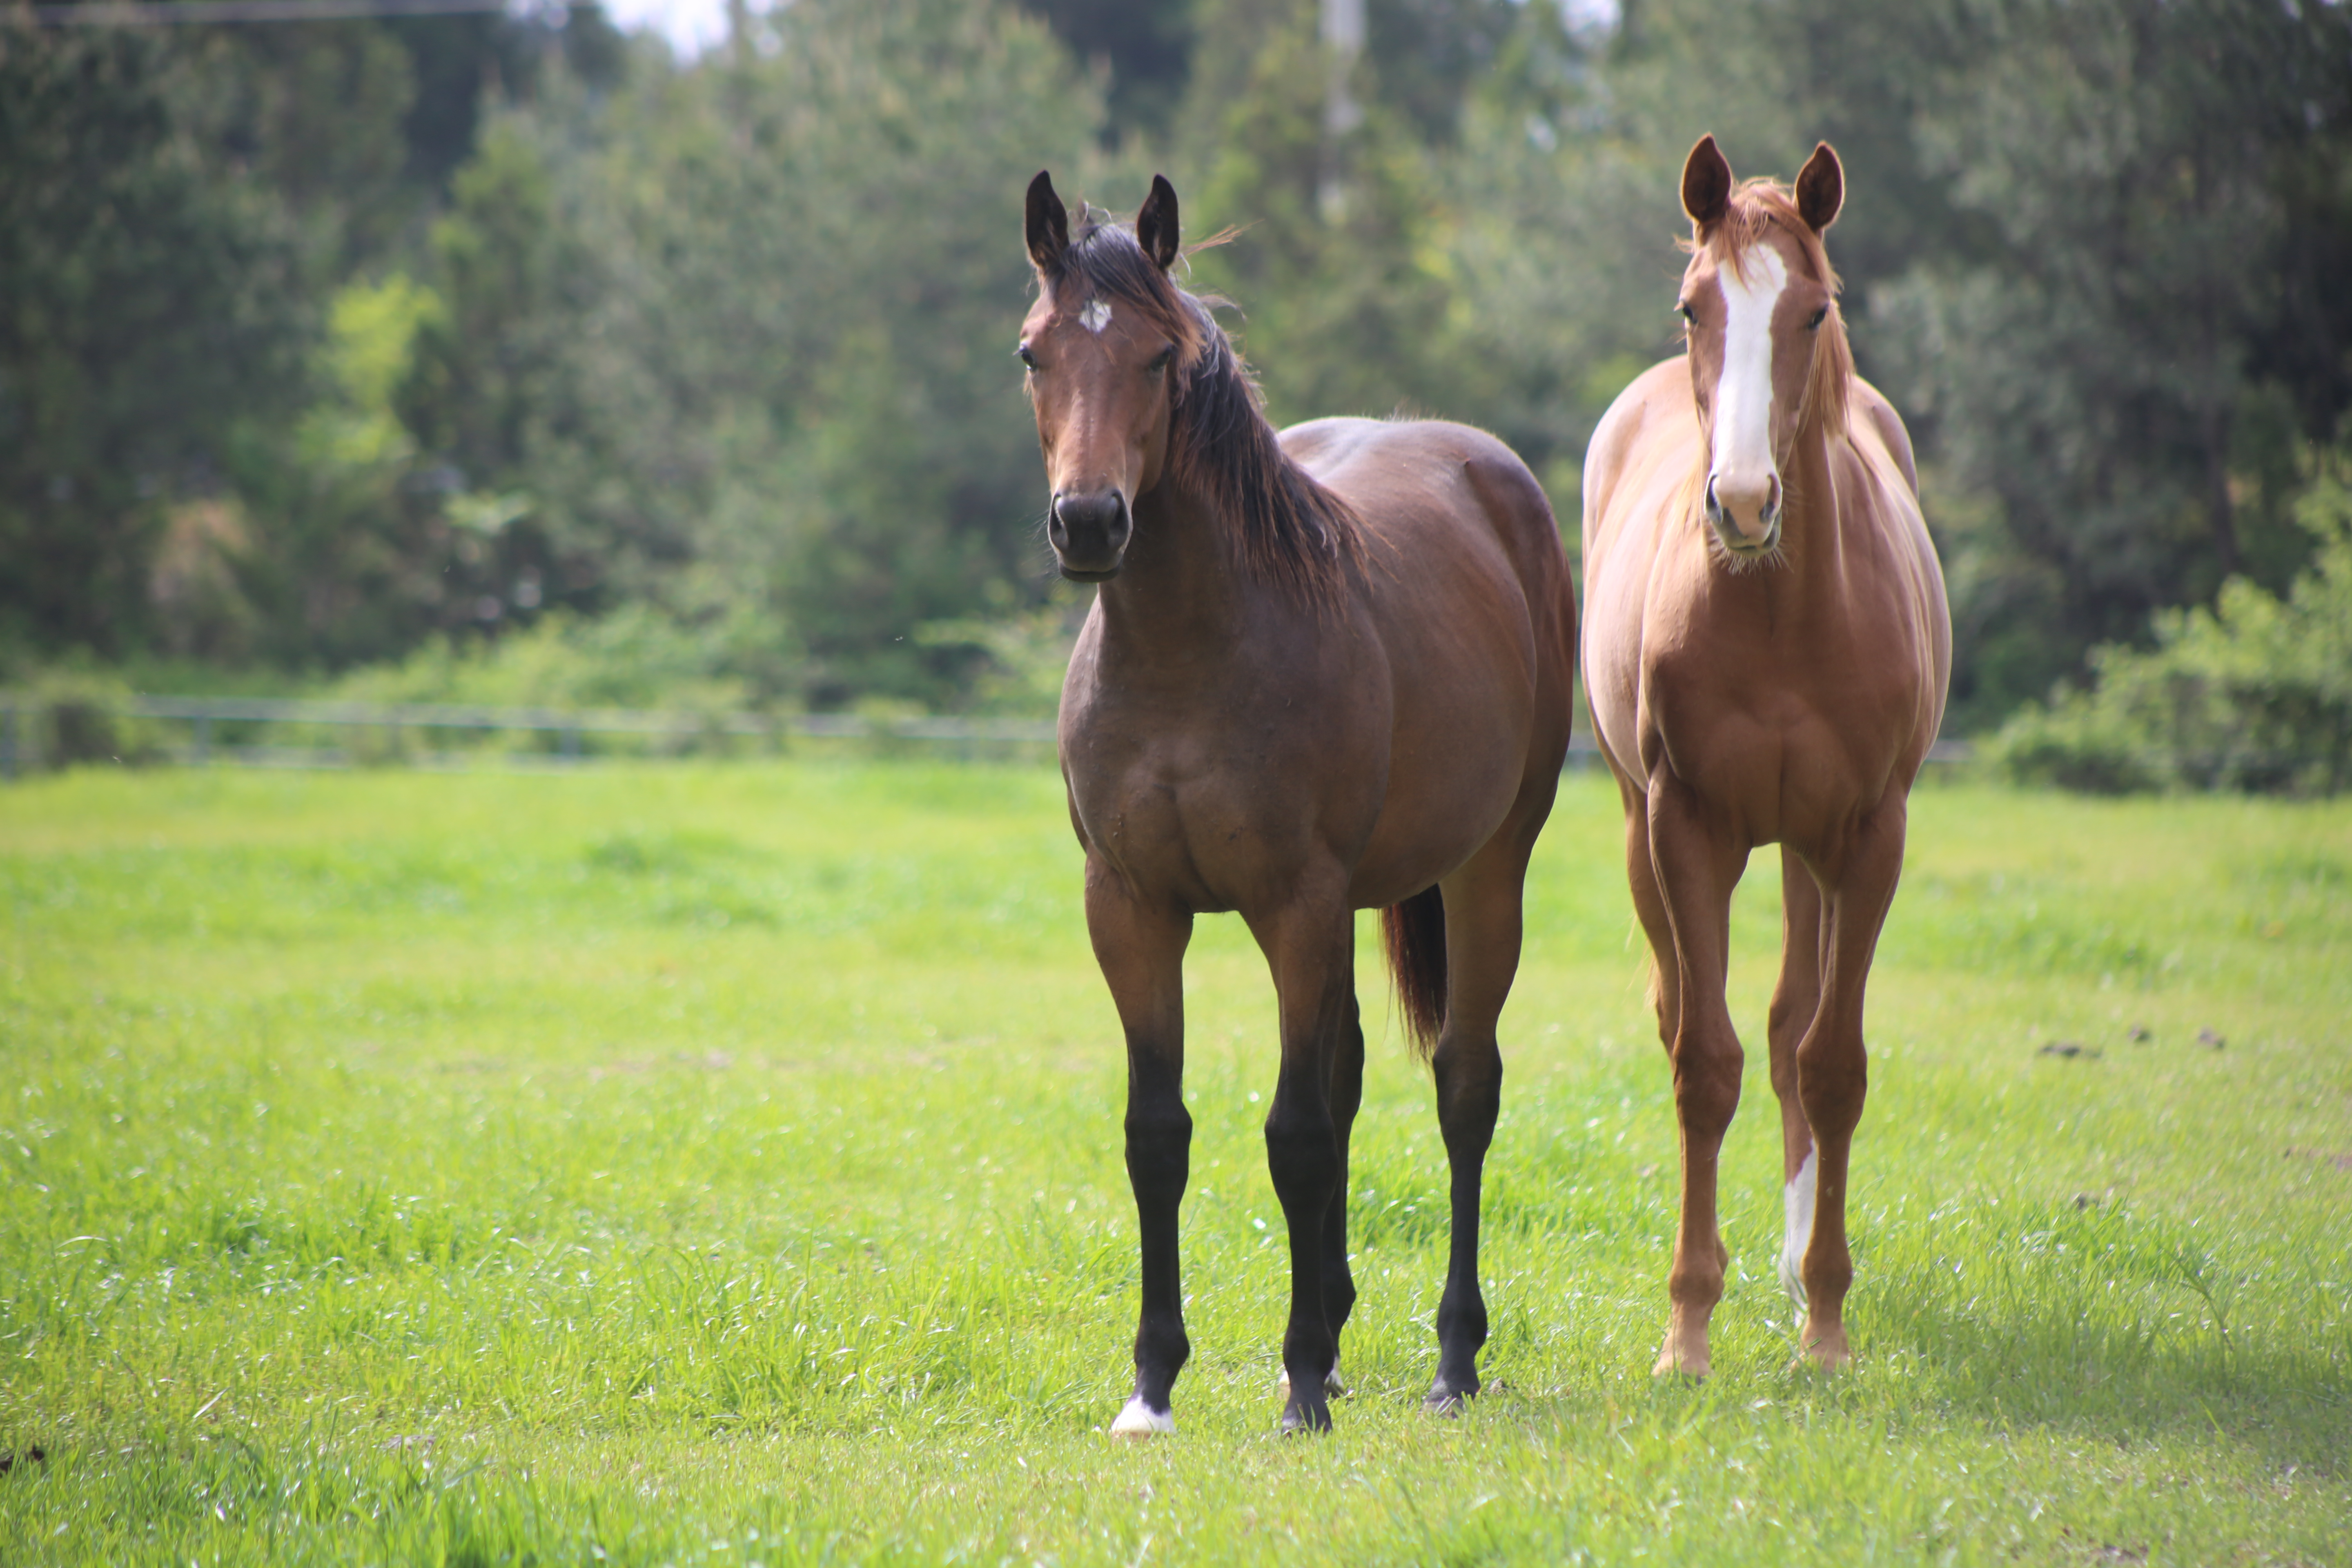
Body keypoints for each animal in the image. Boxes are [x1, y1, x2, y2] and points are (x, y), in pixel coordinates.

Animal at [1020, 172, 1571, 1439]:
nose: (1089, 523)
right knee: (1355, 1070)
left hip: (1485, 871)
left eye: (1161, 359)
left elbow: (1296, 1137)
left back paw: (1449, 1359)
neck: (1189, 658)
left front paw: (1306, 1386)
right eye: (1033, 353)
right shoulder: (1129, 910)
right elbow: (1158, 1135)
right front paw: (1154, 1384)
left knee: (1463, 1090)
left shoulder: (1294, 904)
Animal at [1590, 141, 1957, 1382]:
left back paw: (1800, 1268)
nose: (1743, 503)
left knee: (1797, 1028)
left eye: (1814, 310)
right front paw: (1686, 1331)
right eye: (1692, 306)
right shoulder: (1684, 825)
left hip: (1808, 850)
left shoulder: (1868, 833)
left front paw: (1827, 1327)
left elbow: (1830, 1063)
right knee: (1692, 1018)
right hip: (1647, 836)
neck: (1781, 614)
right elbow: (1703, 1064)